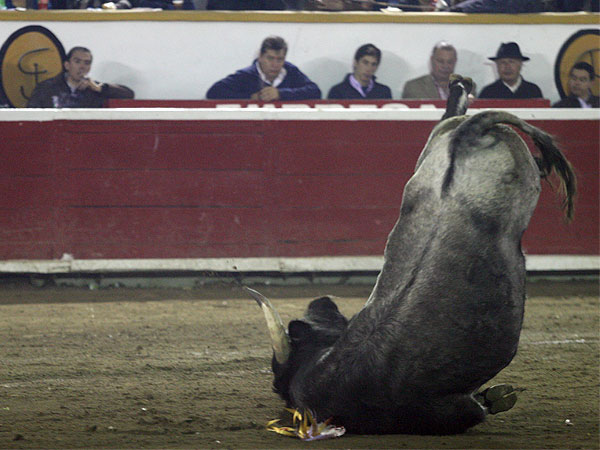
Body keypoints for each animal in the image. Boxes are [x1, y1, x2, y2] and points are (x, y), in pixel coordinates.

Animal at [248, 78, 576, 436]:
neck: (322, 368)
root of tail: (467, 135)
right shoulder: (454, 409)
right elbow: (480, 408)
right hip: (446, 162)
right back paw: (461, 89)